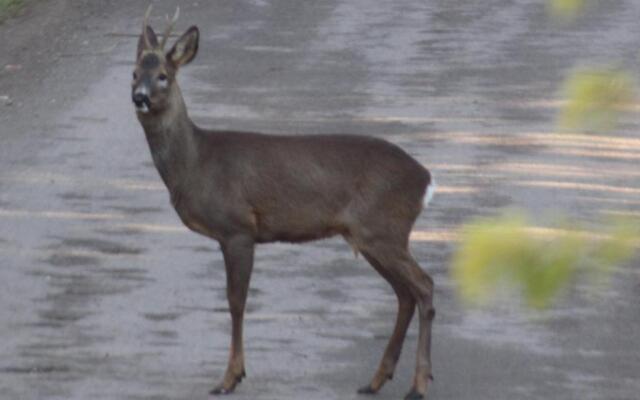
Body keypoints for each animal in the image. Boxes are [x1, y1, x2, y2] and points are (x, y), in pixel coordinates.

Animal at [132, 7, 438, 400]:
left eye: (164, 76)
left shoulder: (238, 228)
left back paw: (418, 385)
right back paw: (375, 380)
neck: (197, 162)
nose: (139, 96)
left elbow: (236, 302)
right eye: (134, 73)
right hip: (371, 236)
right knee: (405, 294)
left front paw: (229, 378)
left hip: (384, 229)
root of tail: (425, 179)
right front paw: (234, 374)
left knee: (424, 286)